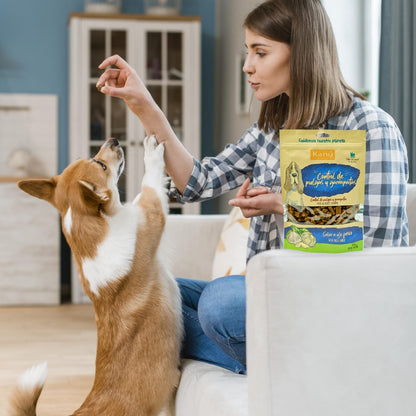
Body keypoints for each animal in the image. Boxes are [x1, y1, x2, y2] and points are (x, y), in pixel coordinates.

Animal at [12, 136, 182, 416]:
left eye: (92, 157)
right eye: (101, 165)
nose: (113, 139)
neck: (90, 223)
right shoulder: (150, 211)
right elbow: (150, 181)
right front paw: (151, 151)